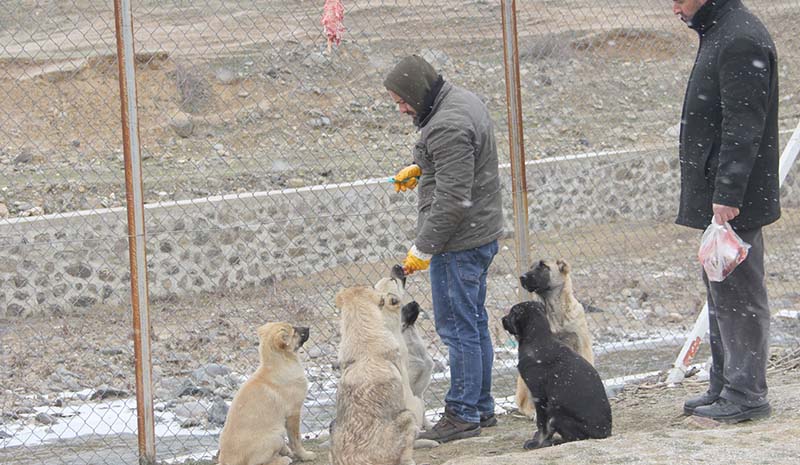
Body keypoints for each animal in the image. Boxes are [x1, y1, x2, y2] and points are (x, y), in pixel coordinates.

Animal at [220, 320, 320, 464]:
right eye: (293, 331)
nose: (308, 327)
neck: (280, 362)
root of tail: (226, 461)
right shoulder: (294, 412)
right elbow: (296, 439)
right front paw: (304, 455)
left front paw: (288, 451)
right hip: (277, 433)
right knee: (259, 463)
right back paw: (282, 460)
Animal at [500, 300, 612, 448]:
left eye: (512, 312)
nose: (502, 319)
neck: (537, 339)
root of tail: (606, 433)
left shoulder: (539, 396)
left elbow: (542, 424)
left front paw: (538, 442)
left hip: (556, 413)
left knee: (575, 437)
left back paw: (555, 441)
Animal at [516, 260, 596, 418]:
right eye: (531, 267)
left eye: (543, 266)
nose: (522, 277)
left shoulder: (582, 344)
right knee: (524, 403)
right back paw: (531, 411)